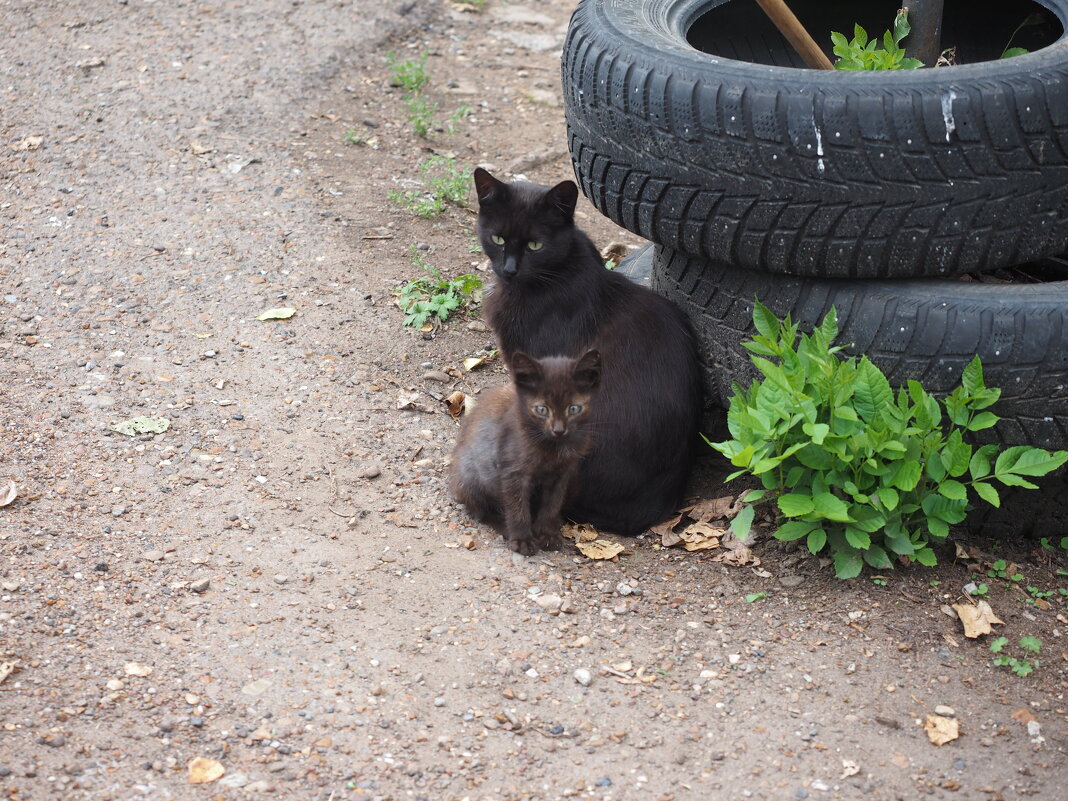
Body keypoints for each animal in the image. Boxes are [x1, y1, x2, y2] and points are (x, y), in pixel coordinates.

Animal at [448, 350, 602, 559]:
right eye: (542, 409)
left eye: (574, 408)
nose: (559, 430)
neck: (552, 448)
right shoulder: (513, 472)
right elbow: (517, 509)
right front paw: (522, 540)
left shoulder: (561, 474)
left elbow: (552, 505)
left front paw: (547, 534)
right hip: (471, 474)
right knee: (481, 510)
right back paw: (503, 525)